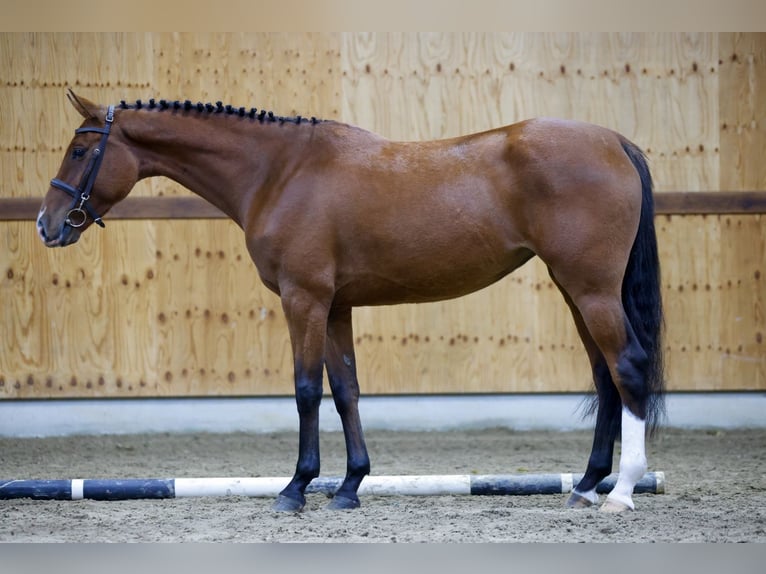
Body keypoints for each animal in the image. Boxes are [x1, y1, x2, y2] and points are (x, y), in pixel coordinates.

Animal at [36, 91, 664, 516]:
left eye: (79, 150)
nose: (47, 224)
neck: (279, 172)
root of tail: (615, 142)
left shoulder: (305, 299)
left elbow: (306, 391)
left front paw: (296, 488)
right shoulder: (336, 307)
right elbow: (346, 391)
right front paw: (349, 486)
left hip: (590, 289)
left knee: (627, 367)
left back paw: (623, 490)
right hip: (574, 290)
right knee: (606, 377)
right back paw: (585, 486)